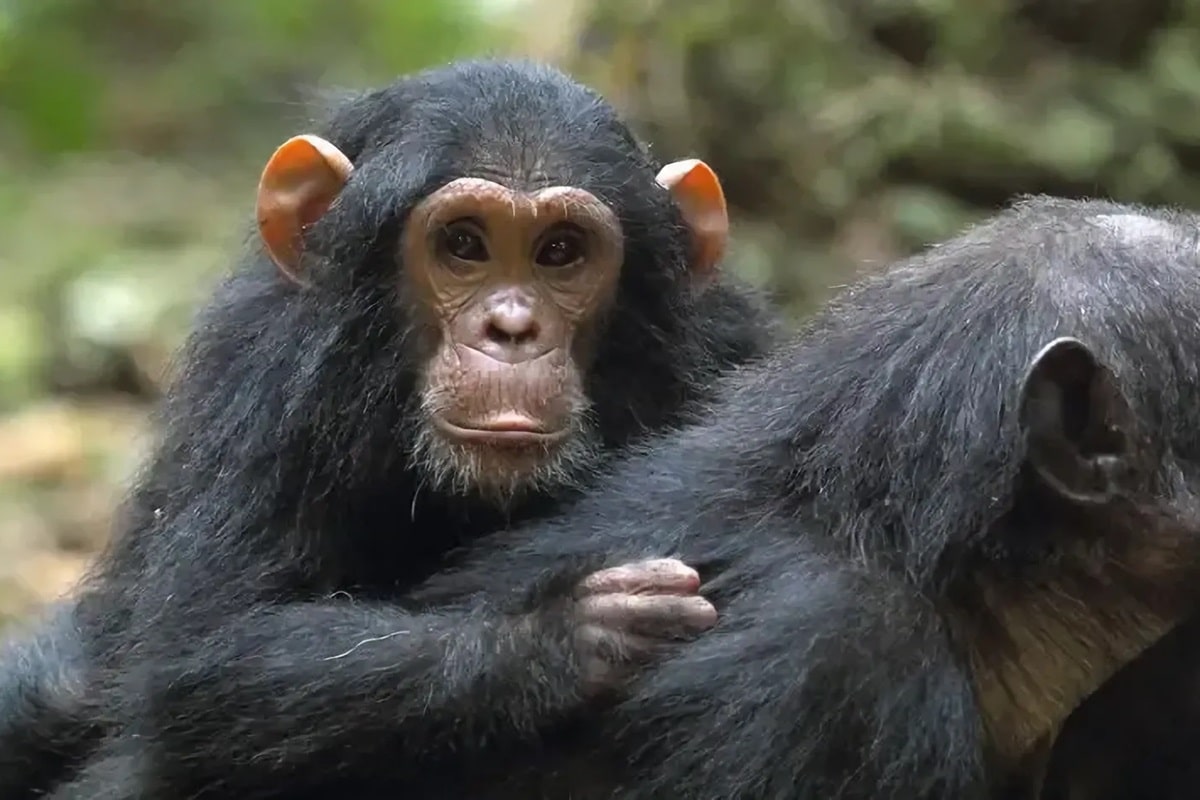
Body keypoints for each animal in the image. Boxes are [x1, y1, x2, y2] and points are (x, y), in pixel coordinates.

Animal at [0, 57, 777, 800]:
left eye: (561, 251)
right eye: (463, 244)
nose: (512, 329)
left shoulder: (726, 343)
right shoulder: (259, 380)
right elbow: (207, 651)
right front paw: (560, 634)